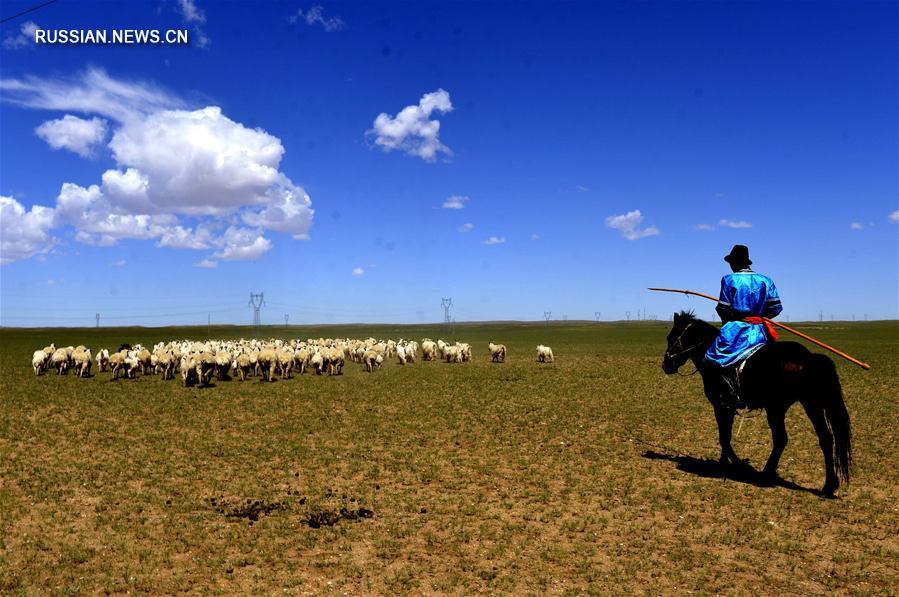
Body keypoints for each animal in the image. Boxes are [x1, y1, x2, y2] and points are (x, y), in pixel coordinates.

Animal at [660, 310, 852, 496]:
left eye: (671, 337)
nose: (666, 365)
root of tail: (809, 358)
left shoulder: (721, 405)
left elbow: (724, 437)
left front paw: (730, 465)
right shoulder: (727, 408)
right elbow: (725, 436)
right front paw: (729, 463)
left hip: (779, 407)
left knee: (782, 438)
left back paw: (766, 474)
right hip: (809, 405)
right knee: (825, 438)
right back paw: (829, 485)